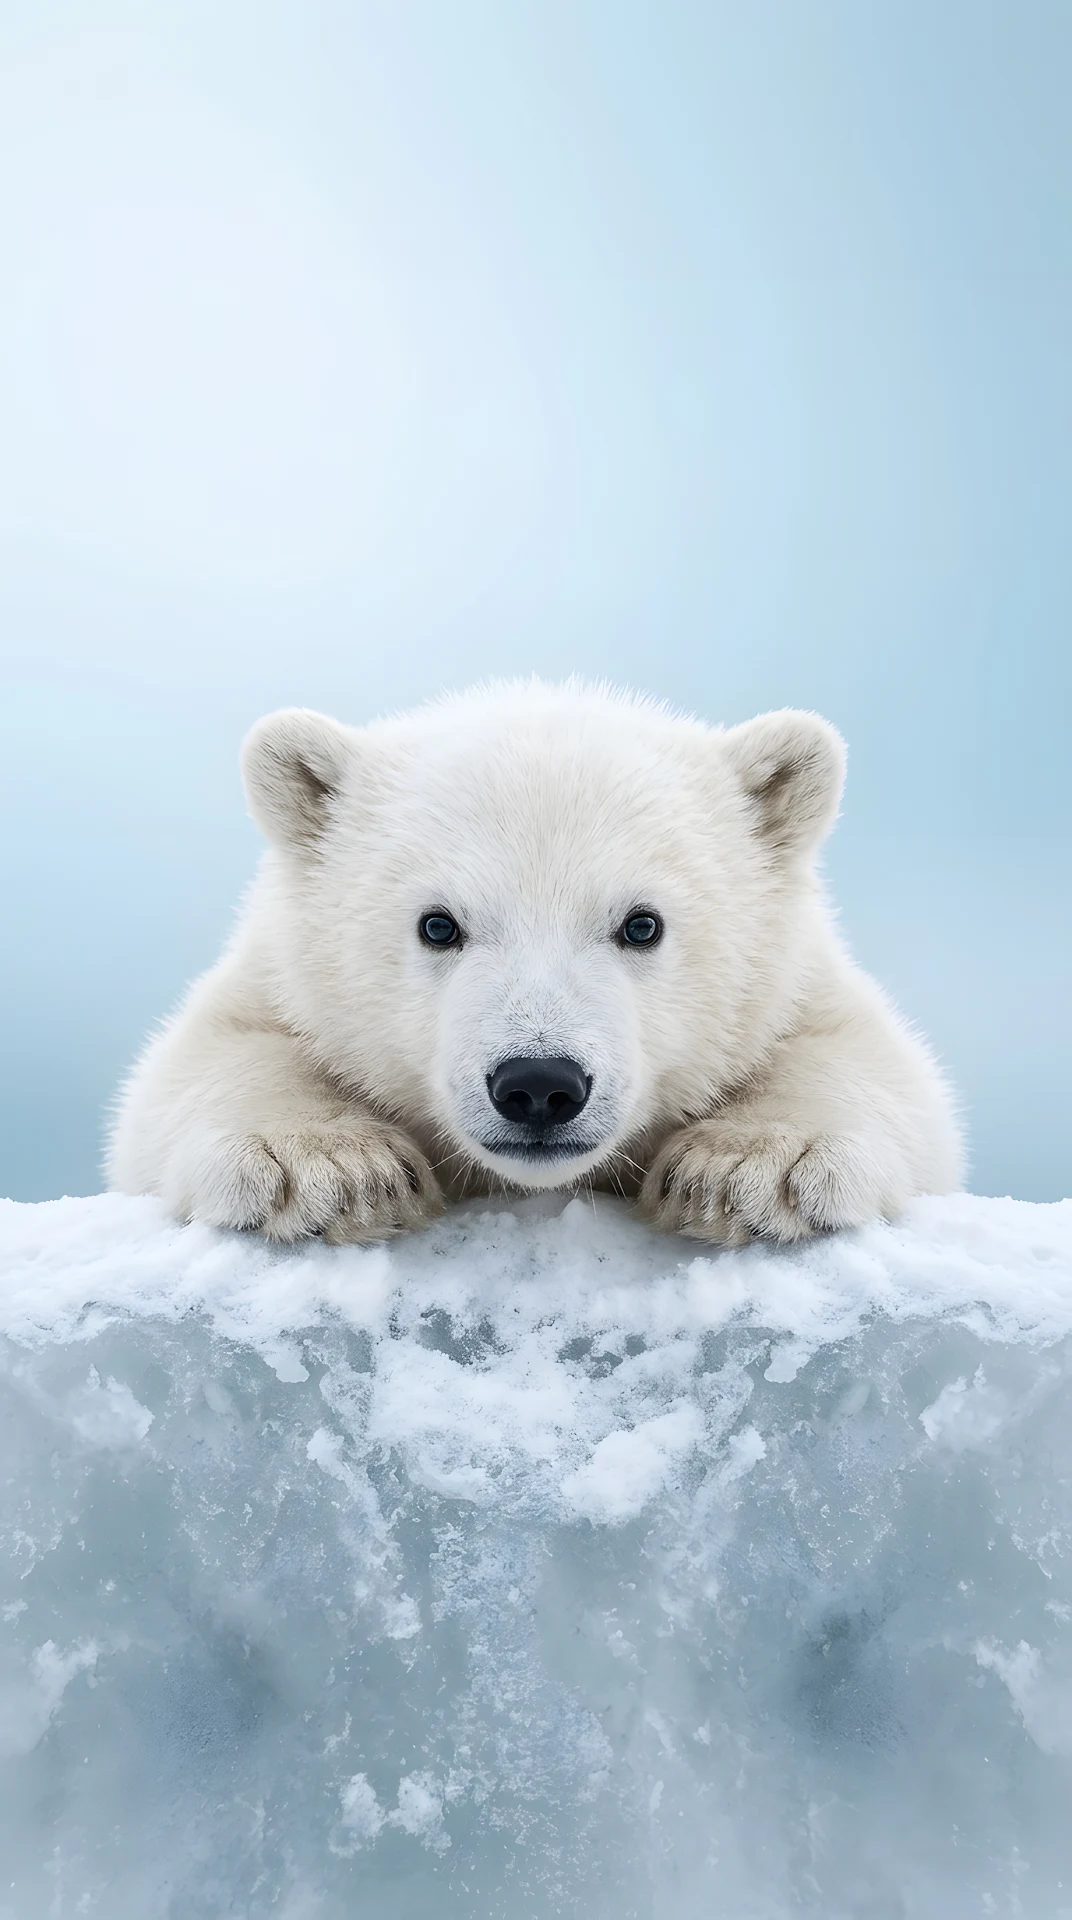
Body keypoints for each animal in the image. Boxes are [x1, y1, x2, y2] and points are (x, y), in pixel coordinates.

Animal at [108, 680, 962, 1244]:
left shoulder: (800, 981)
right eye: (438, 925)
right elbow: (203, 1062)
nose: (540, 1085)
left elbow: (870, 1064)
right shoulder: (273, 977)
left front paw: (750, 1167)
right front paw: (331, 1168)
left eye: (641, 924)